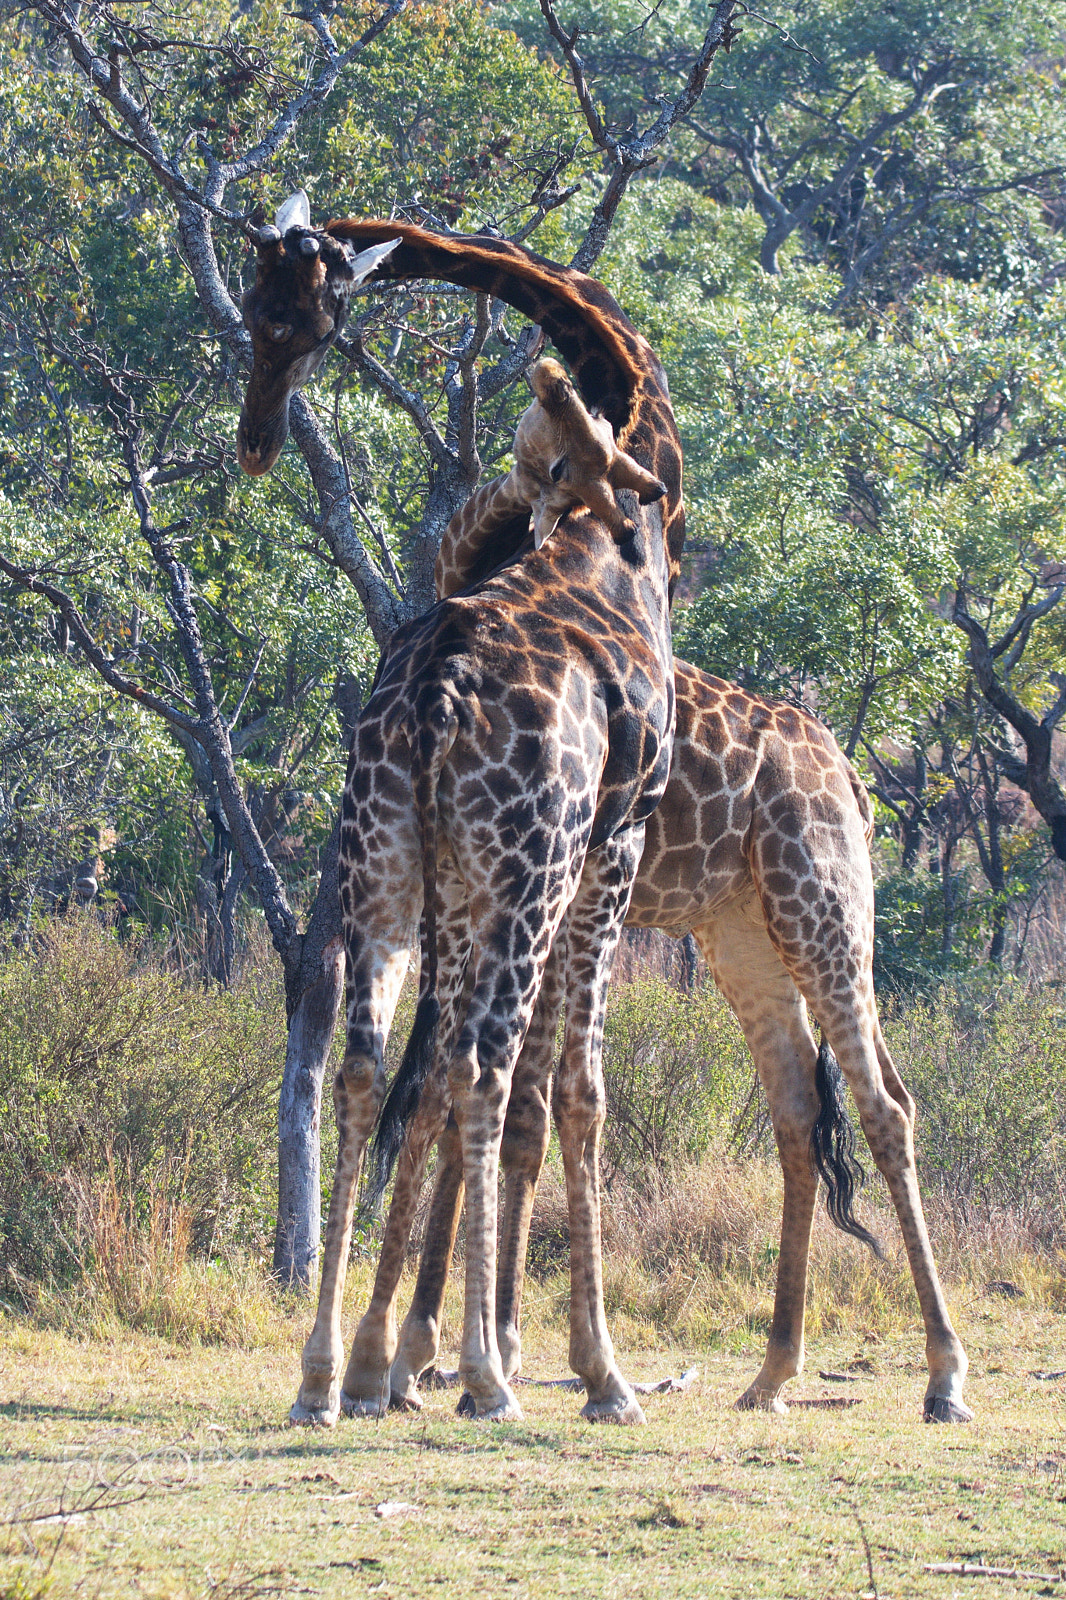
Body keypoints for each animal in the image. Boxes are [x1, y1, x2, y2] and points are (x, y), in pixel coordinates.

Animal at [238, 203, 685, 1425]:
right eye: (261, 312)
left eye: (293, 314)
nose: (255, 436)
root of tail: (435, 694)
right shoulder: (613, 845)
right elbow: (574, 1086)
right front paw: (593, 1369)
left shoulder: (471, 875)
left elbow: (432, 1081)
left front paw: (390, 1353)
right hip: (527, 868)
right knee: (482, 1064)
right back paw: (488, 1375)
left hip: (386, 859)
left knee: (364, 1064)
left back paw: (321, 1375)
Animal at [344, 393, 973, 1426]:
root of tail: (846, 772)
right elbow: (483, 1099)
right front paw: (446, 1355)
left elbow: (489, 1100)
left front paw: (447, 1355)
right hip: (743, 937)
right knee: (799, 1107)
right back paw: (773, 1373)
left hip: (827, 911)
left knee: (886, 1103)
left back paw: (945, 1376)